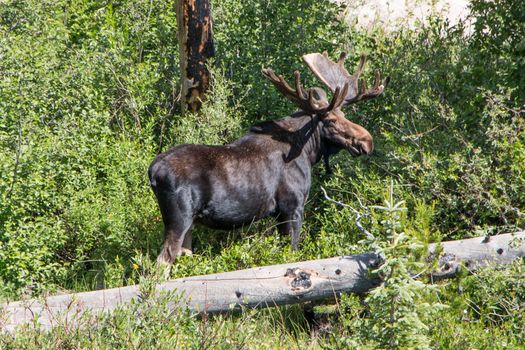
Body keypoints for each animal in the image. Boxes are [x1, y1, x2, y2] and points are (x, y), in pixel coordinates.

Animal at [149, 52, 386, 264]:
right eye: (331, 121)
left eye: (344, 115)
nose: (367, 141)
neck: (308, 151)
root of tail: (153, 172)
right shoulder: (292, 206)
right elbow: (291, 253)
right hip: (179, 218)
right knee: (162, 261)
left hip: (190, 223)